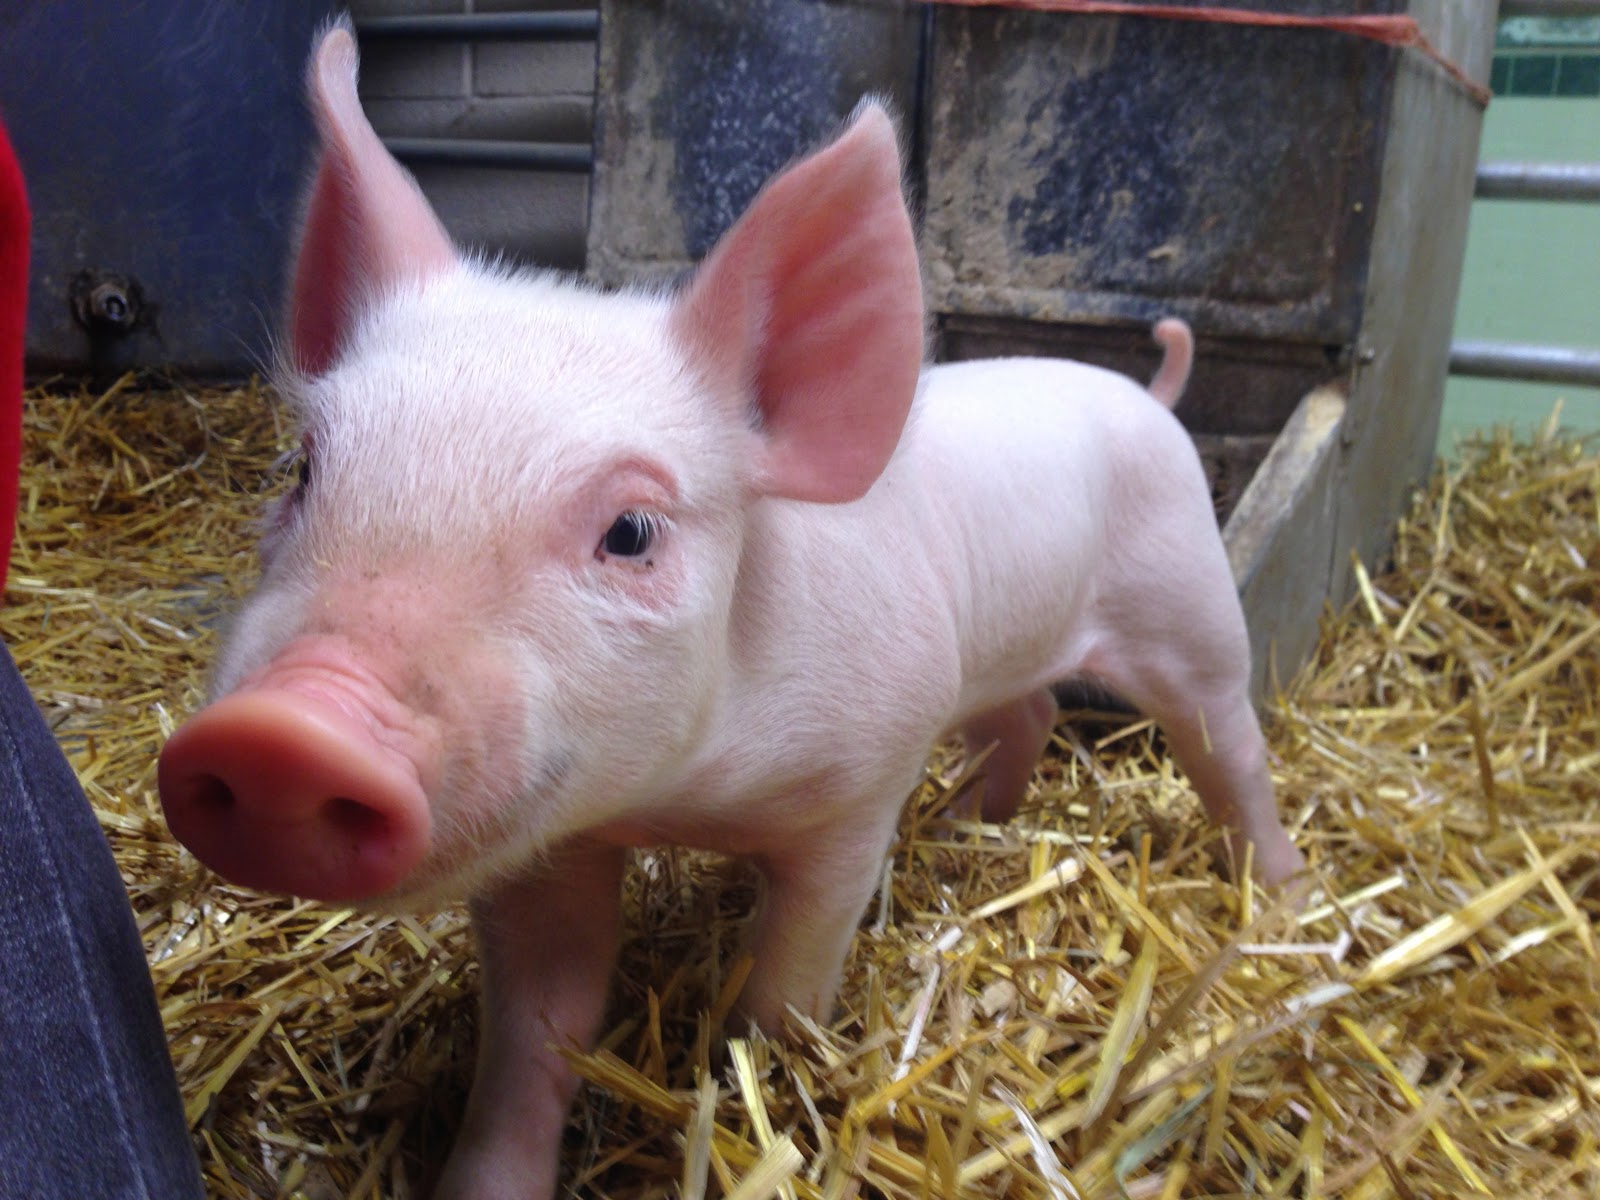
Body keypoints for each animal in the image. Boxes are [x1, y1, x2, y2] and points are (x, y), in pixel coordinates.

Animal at [157, 22, 1304, 1200]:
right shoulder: (549, 845)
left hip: (1189, 605)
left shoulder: (858, 789)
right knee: (1021, 715)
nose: (283, 730)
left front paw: (769, 1091)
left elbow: (786, 986)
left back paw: (1282, 896)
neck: (679, 795)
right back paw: (962, 824)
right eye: (303, 469)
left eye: (631, 531)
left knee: (1228, 748)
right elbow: (538, 1029)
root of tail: (1145, 396)